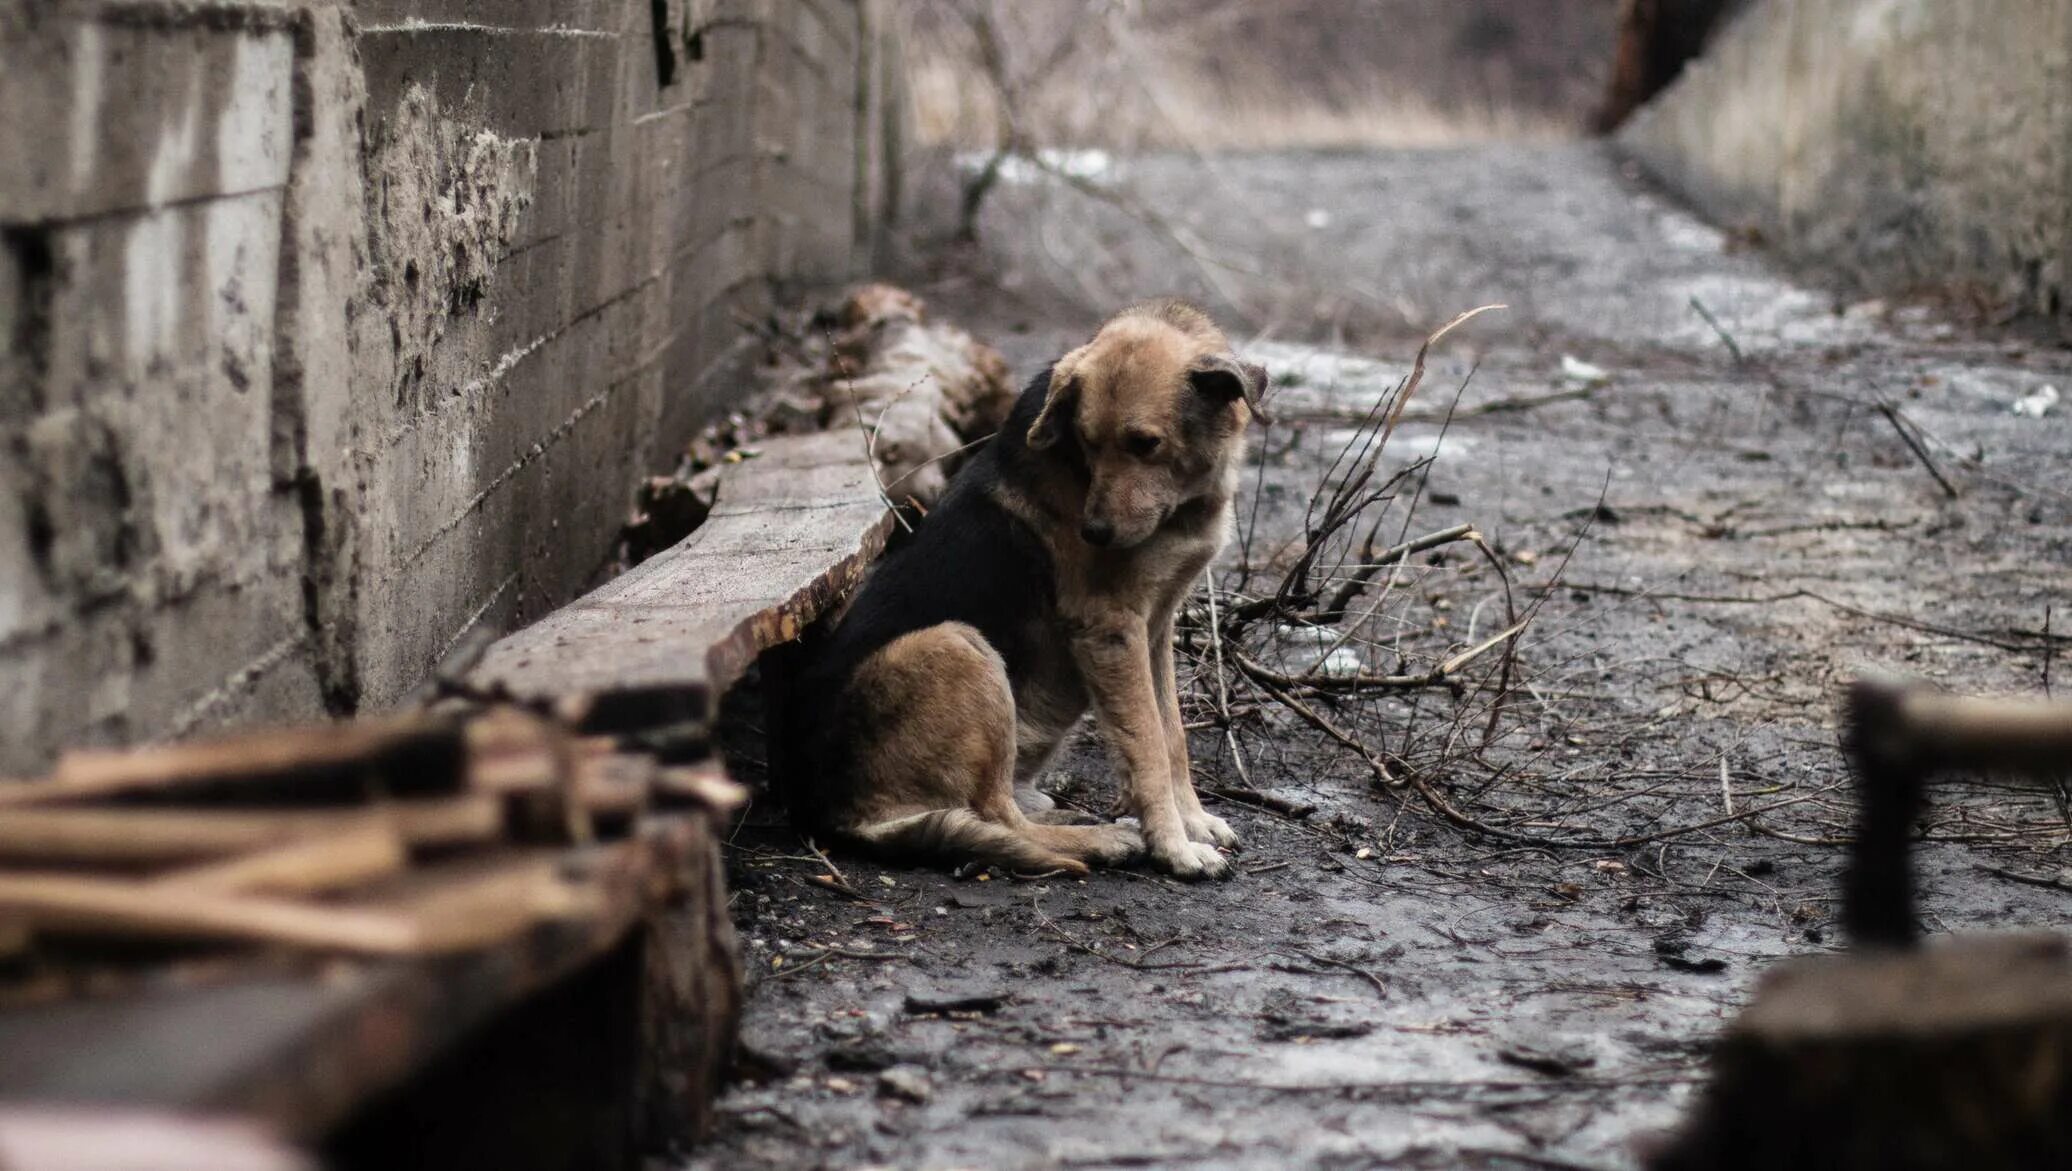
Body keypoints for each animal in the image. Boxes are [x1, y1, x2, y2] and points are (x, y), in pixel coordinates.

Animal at [787, 300, 1259, 878]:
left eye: (1145, 444)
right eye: (1087, 441)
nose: (1093, 533)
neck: (1186, 501)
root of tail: (829, 815)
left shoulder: (1155, 627)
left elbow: (1171, 737)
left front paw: (1192, 823)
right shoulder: (1111, 628)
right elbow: (1147, 745)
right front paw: (1174, 847)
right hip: (955, 644)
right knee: (998, 816)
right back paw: (1098, 839)